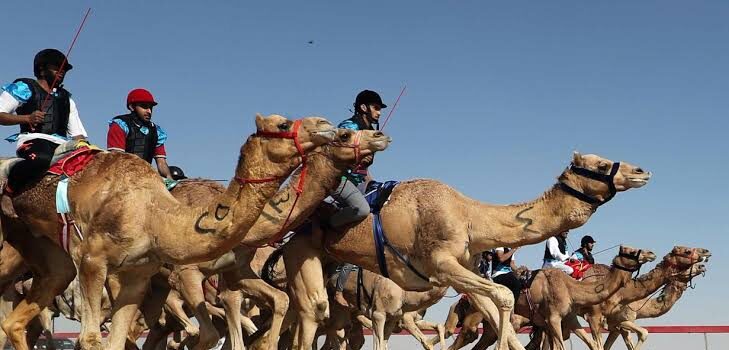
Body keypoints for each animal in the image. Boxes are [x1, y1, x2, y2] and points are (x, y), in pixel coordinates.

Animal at [0, 115, 336, 350]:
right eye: (283, 123)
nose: (327, 125)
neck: (155, 217)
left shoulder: (140, 275)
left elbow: (120, 339)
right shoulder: (97, 261)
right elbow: (94, 339)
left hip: (46, 251)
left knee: (18, 318)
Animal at [160, 129, 390, 350]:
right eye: (344, 135)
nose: (380, 136)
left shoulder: (238, 270)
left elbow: (280, 300)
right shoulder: (185, 273)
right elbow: (210, 334)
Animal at [282, 152, 652, 350]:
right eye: (601, 165)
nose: (642, 171)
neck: (468, 215)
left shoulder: (464, 274)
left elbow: (498, 313)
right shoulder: (441, 263)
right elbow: (504, 296)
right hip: (300, 249)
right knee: (310, 315)